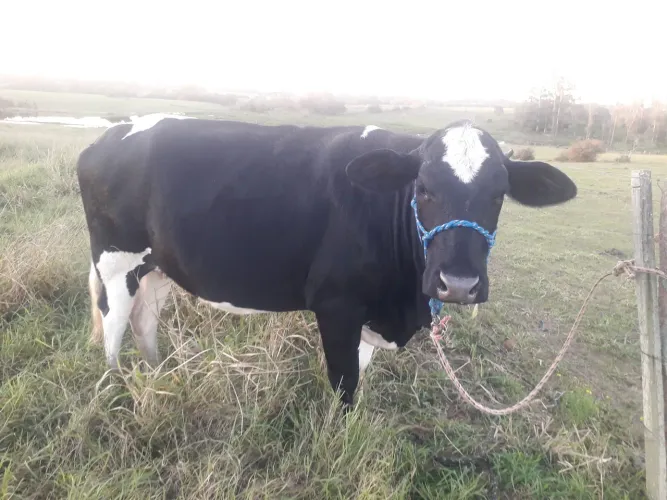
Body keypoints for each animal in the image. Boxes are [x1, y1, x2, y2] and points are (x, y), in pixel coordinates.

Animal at [77, 115, 577, 408]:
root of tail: (108, 136)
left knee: (145, 321)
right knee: (113, 329)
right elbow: (344, 384)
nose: (457, 283)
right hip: (116, 261)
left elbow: (359, 372)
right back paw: (118, 387)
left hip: (156, 266)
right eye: (423, 188)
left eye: (499, 195)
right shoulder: (337, 305)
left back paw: (159, 374)